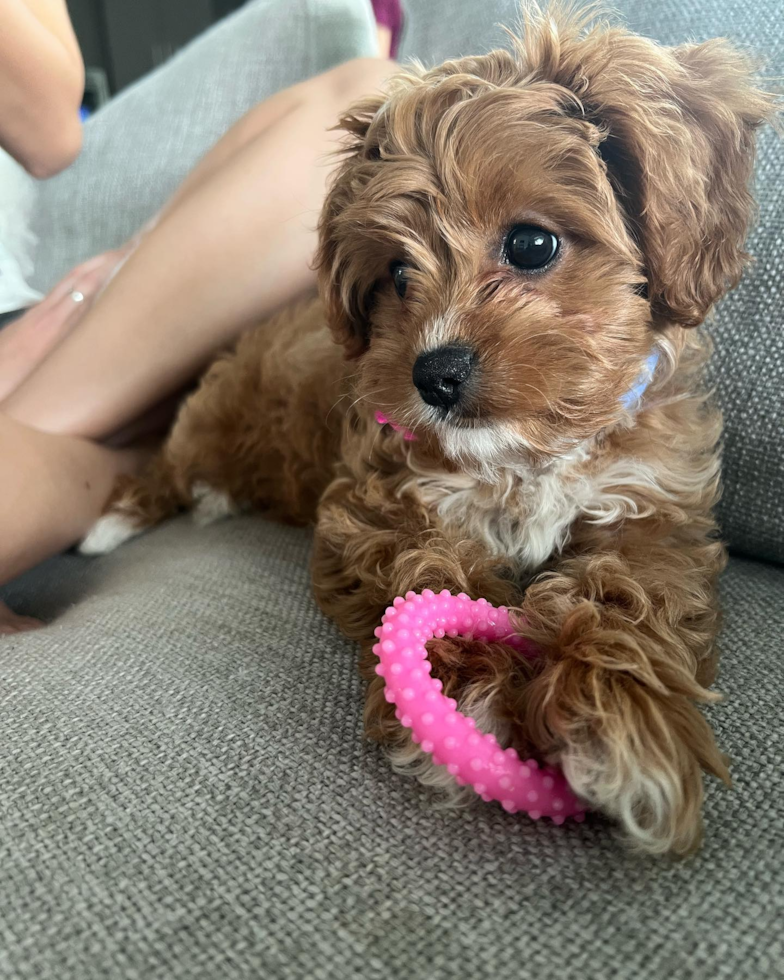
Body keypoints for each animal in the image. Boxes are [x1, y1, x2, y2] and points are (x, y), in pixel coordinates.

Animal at [82, 5, 776, 848]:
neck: (526, 454)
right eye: (397, 275)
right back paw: (122, 519)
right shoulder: (377, 498)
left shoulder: (654, 507)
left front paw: (620, 721)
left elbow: (633, 592)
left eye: (533, 244)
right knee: (166, 467)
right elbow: (428, 566)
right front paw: (476, 688)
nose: (434, 375)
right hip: (207, 419)